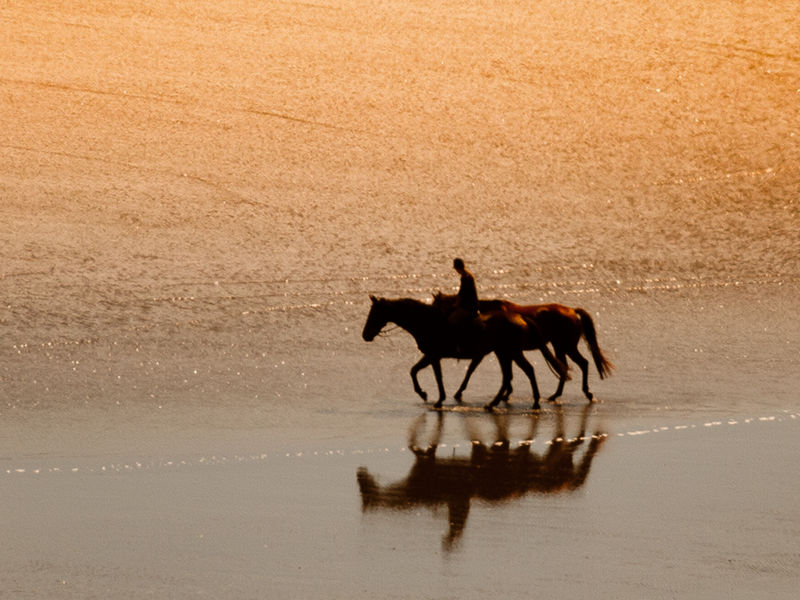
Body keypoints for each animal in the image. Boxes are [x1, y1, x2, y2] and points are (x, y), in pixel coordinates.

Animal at [361, 295, 567, 410]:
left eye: (374, 313)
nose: (365, 335)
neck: (427, 321)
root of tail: (520, 317)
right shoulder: (430, 356)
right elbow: (413, 371)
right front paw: (425, 394)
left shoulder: (433, 356)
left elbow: (435, 377)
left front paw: (435, 398)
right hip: (505, 353)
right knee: (511, 375)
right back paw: (496, 403)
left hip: (510, 352)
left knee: (526, 371)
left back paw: (532, 402)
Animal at [433, 294, 613, 404]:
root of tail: (572, 311)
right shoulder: (503, 351)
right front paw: (506, 393)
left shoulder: (487, 351)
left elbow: (471, 370)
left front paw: (459, 392)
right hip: (559, 347)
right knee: (565, 367)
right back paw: (556, 395)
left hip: (567, 346)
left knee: (582, 364)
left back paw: (586, 393)